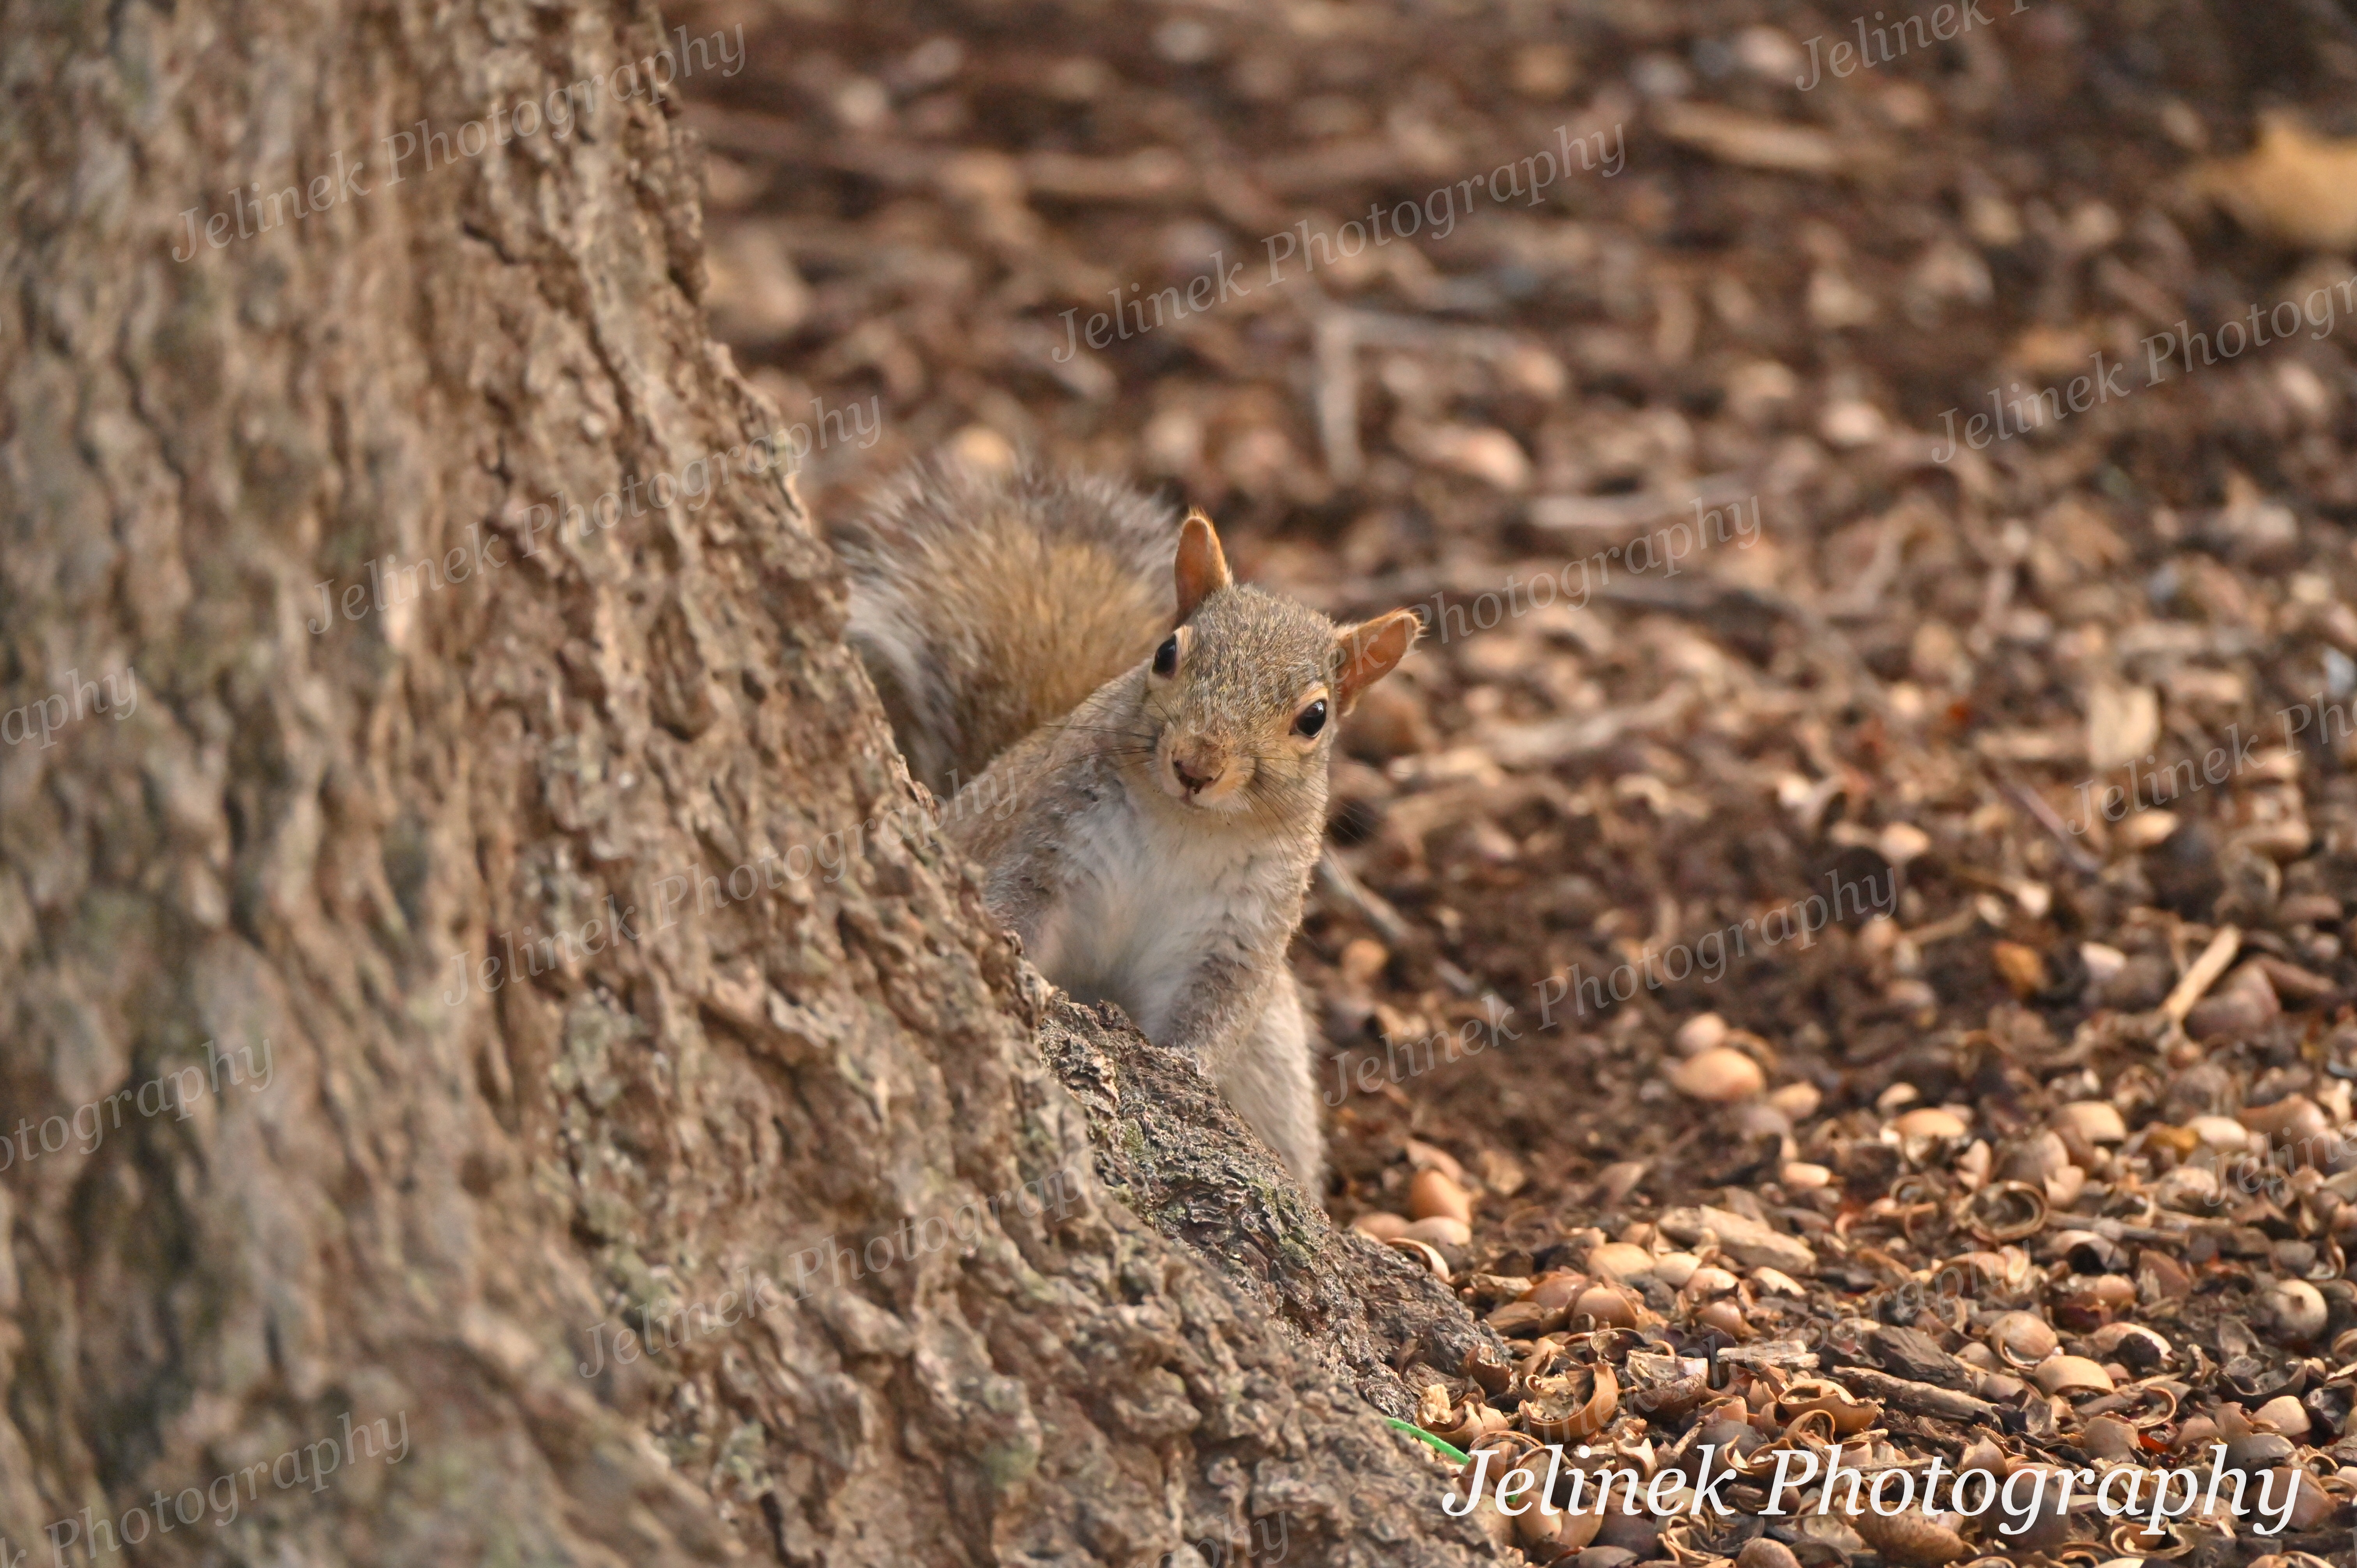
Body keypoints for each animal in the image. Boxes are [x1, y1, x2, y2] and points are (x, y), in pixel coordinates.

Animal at [831, 460, 1420, 1194]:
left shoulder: (1238, 931)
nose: (1196, 764)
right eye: (1166, 653)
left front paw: (1186, 1066)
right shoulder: (1046, 841)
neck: (1185, 825)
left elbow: (1215, 1011)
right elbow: (1015, 910)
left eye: (1314, 718)